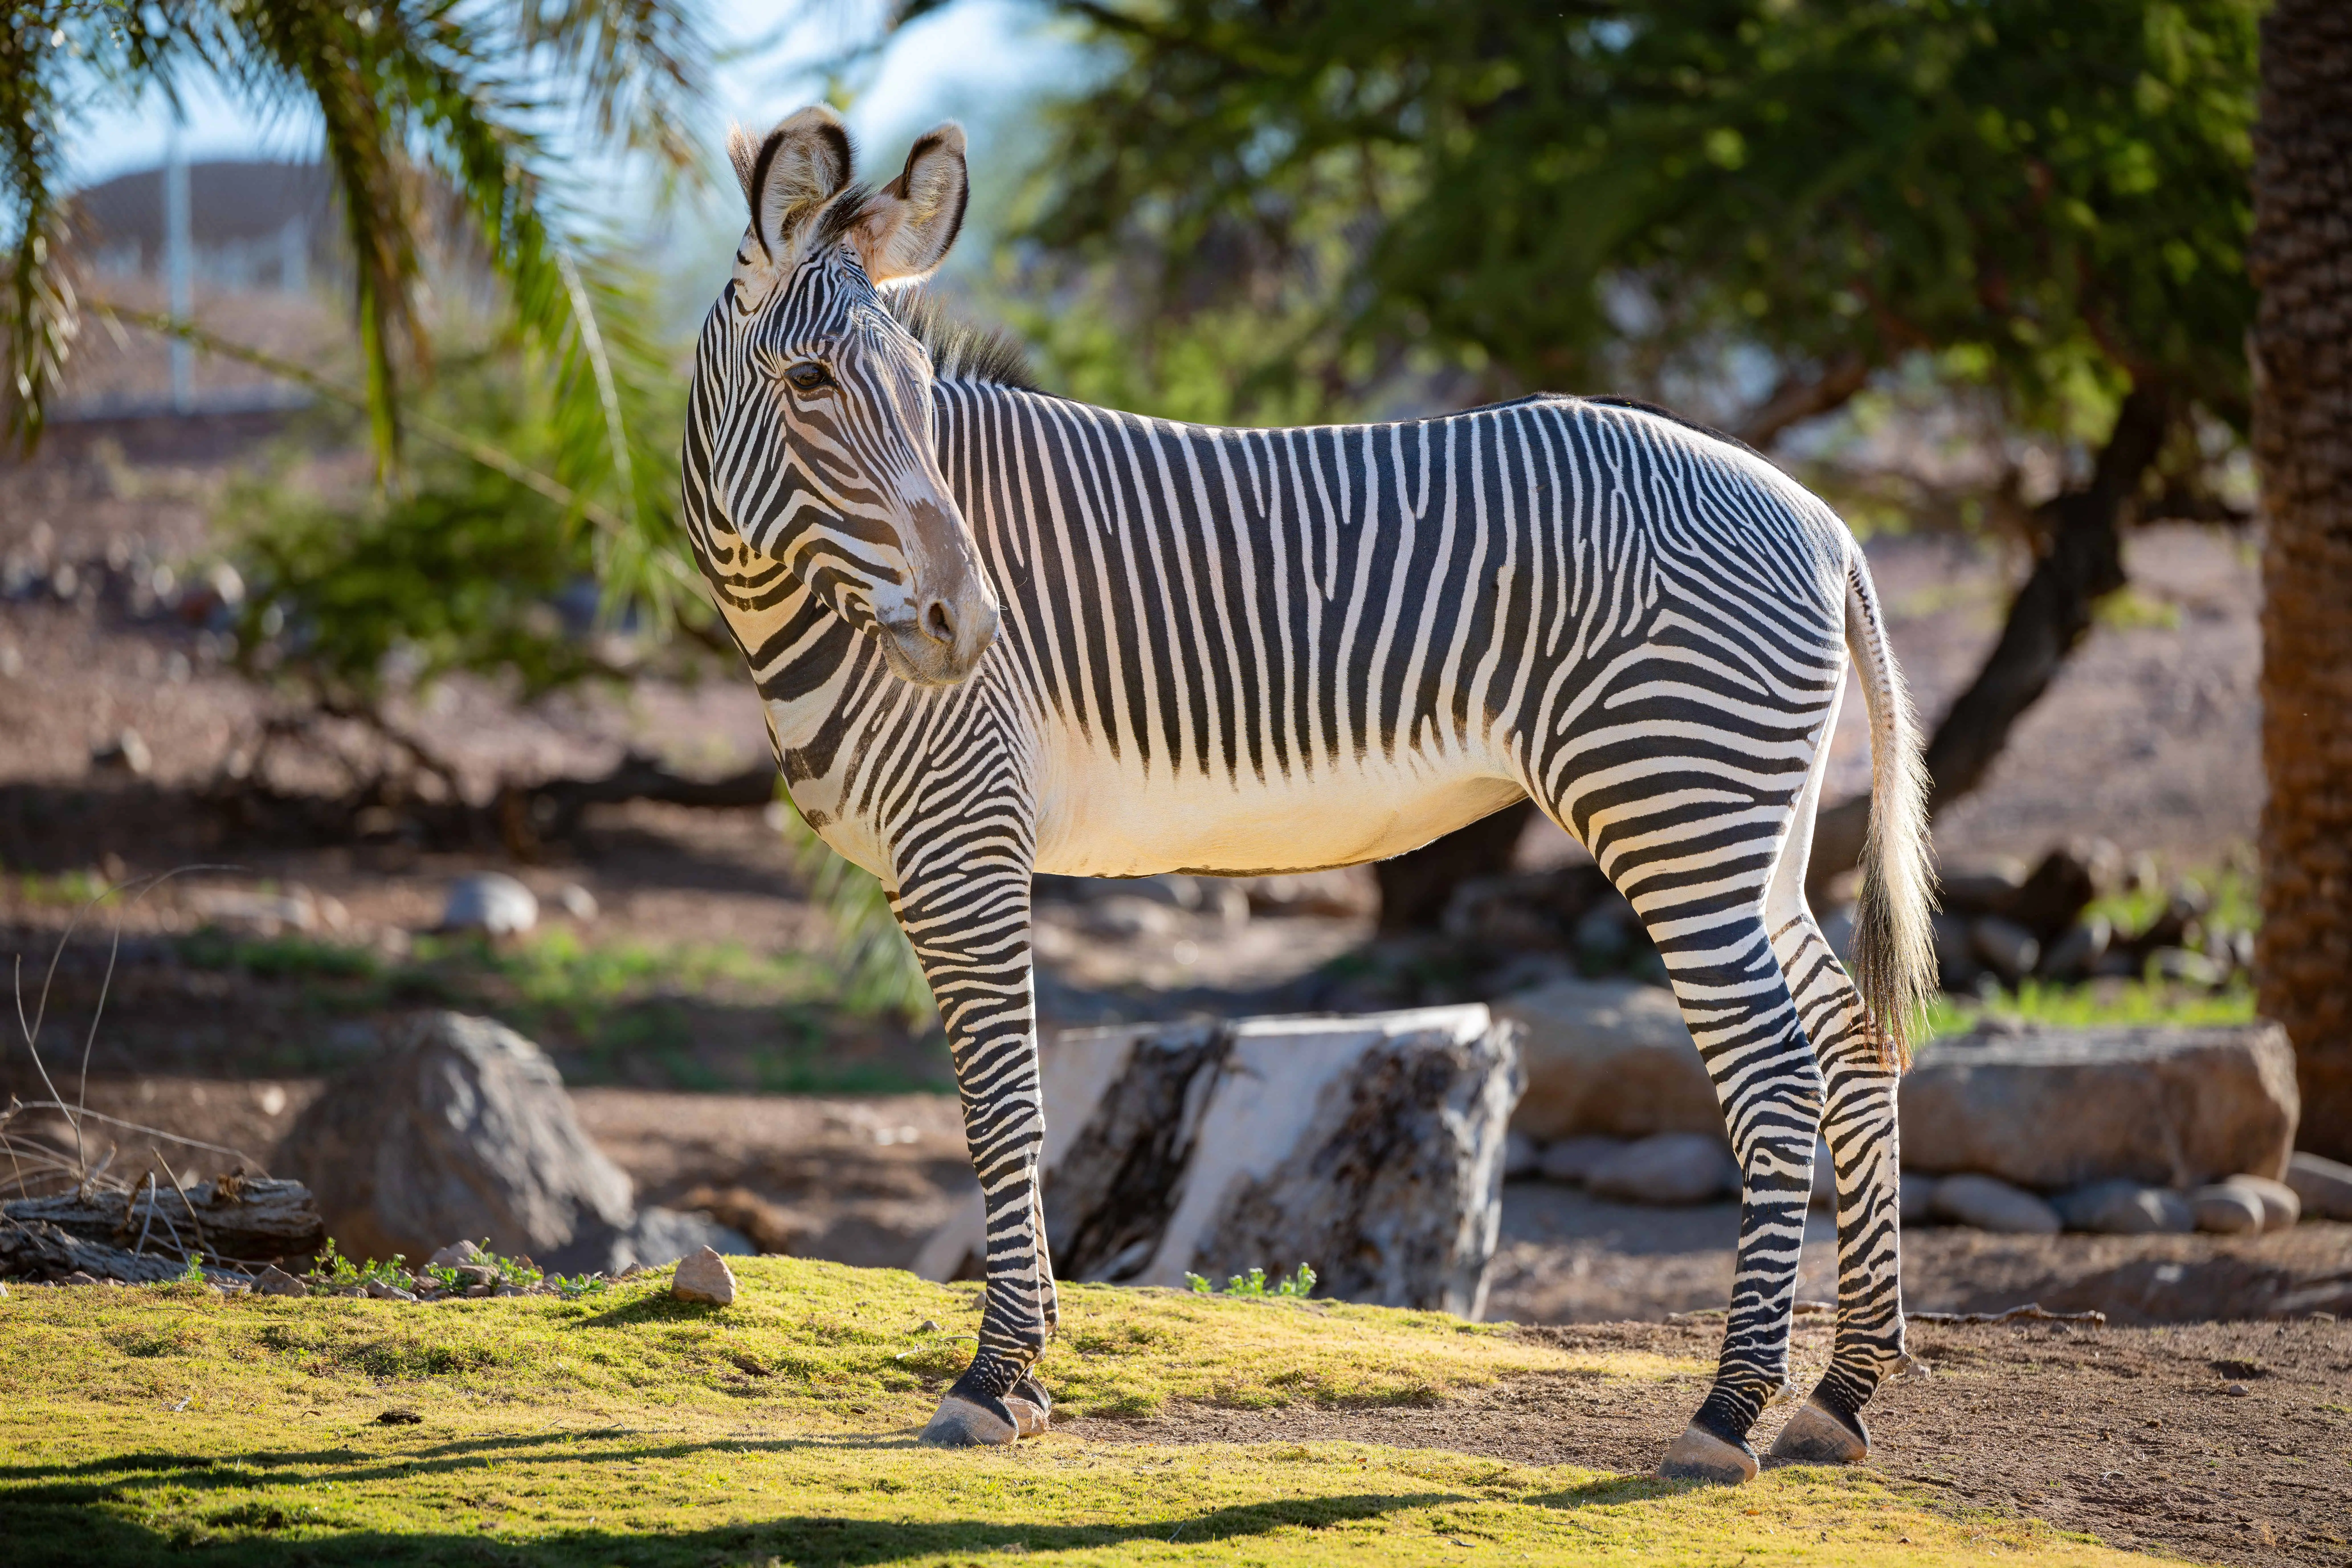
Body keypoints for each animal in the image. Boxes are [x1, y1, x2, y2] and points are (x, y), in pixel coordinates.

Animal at [683, 106, 1939, 1483]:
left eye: (917, 396)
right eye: (811, 385)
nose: (975, 627)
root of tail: (1821, 520)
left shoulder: (963, 837)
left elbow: (1002, 1108)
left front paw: (991, 1377)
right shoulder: (937, 859)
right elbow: (999, 1102)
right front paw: (1038, 1365)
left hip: (1675, 805)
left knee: (1776, 1077)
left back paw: (1726, 1412)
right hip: (1755, 828)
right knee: (1855, 1043)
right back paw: (1842, 1394)